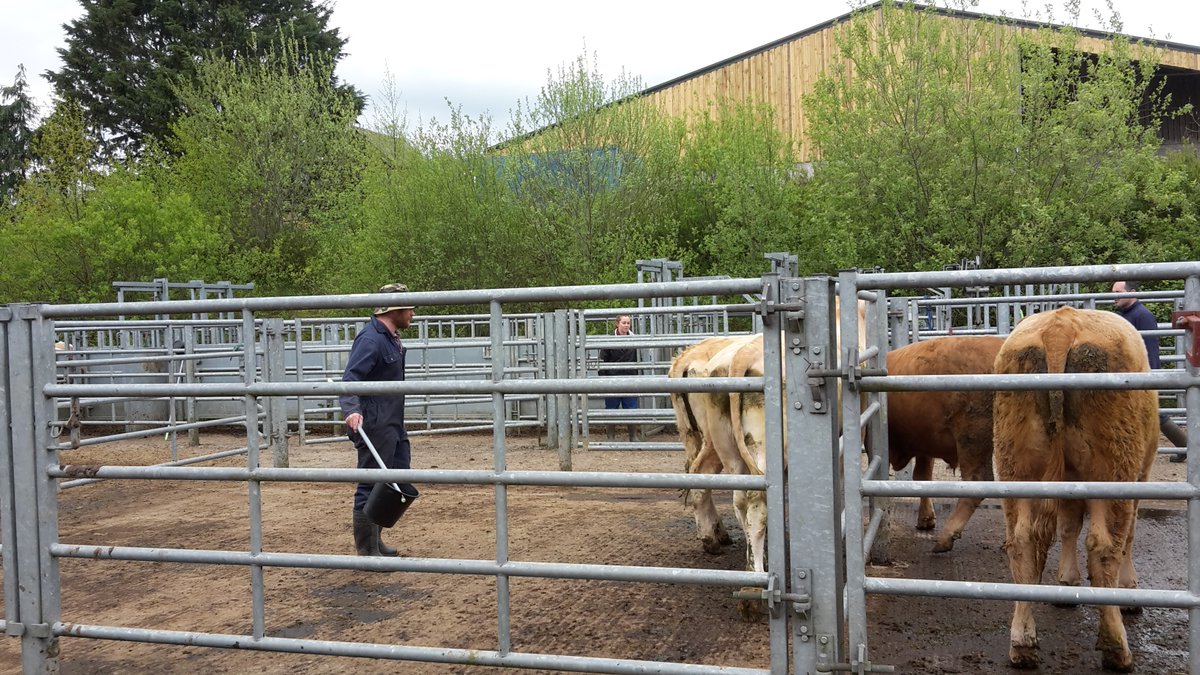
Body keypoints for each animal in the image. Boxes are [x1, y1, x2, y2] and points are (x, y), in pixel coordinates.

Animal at [888, 333, 1008, 550]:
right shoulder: (924, 445)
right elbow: (922, 477)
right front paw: (926, 520)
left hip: (972, 438)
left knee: (977, 480)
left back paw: (946, 538)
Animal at [988, 307, 1156, 667]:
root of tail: (1061, 325)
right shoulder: (1141, 476)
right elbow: (1127, 536)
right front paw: (1129, 590)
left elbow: (1067, 526)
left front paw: (1066, 583)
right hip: (1115, 471)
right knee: (1106, 545)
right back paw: (1116, 646)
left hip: (1016, 470)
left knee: (1022, 542)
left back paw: (1022, 642)